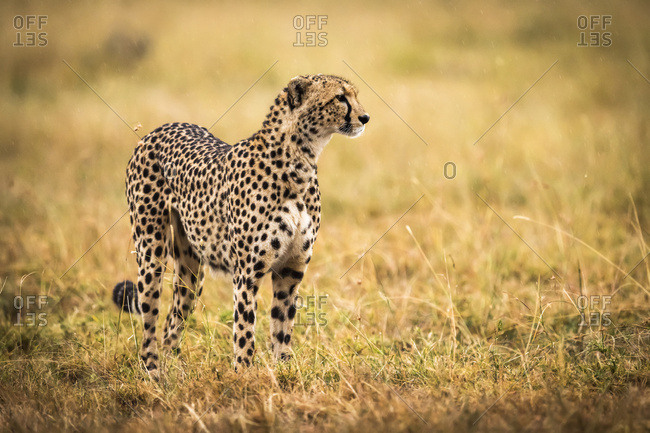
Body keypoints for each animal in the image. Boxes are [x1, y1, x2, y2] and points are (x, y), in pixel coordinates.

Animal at [113, 74, 369, 375]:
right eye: (340, 97)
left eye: (354, 95)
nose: (365, 117)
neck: (300, 161)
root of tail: (159, 129)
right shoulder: (247, 272)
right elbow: (245, 329)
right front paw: (244, 375)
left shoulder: (291, 270)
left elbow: (282, 326)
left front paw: (284, 370)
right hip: (151, 250)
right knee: (149, 315)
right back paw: (153, 369)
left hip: (191, 269)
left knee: (173, 319)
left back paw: (174, 366)